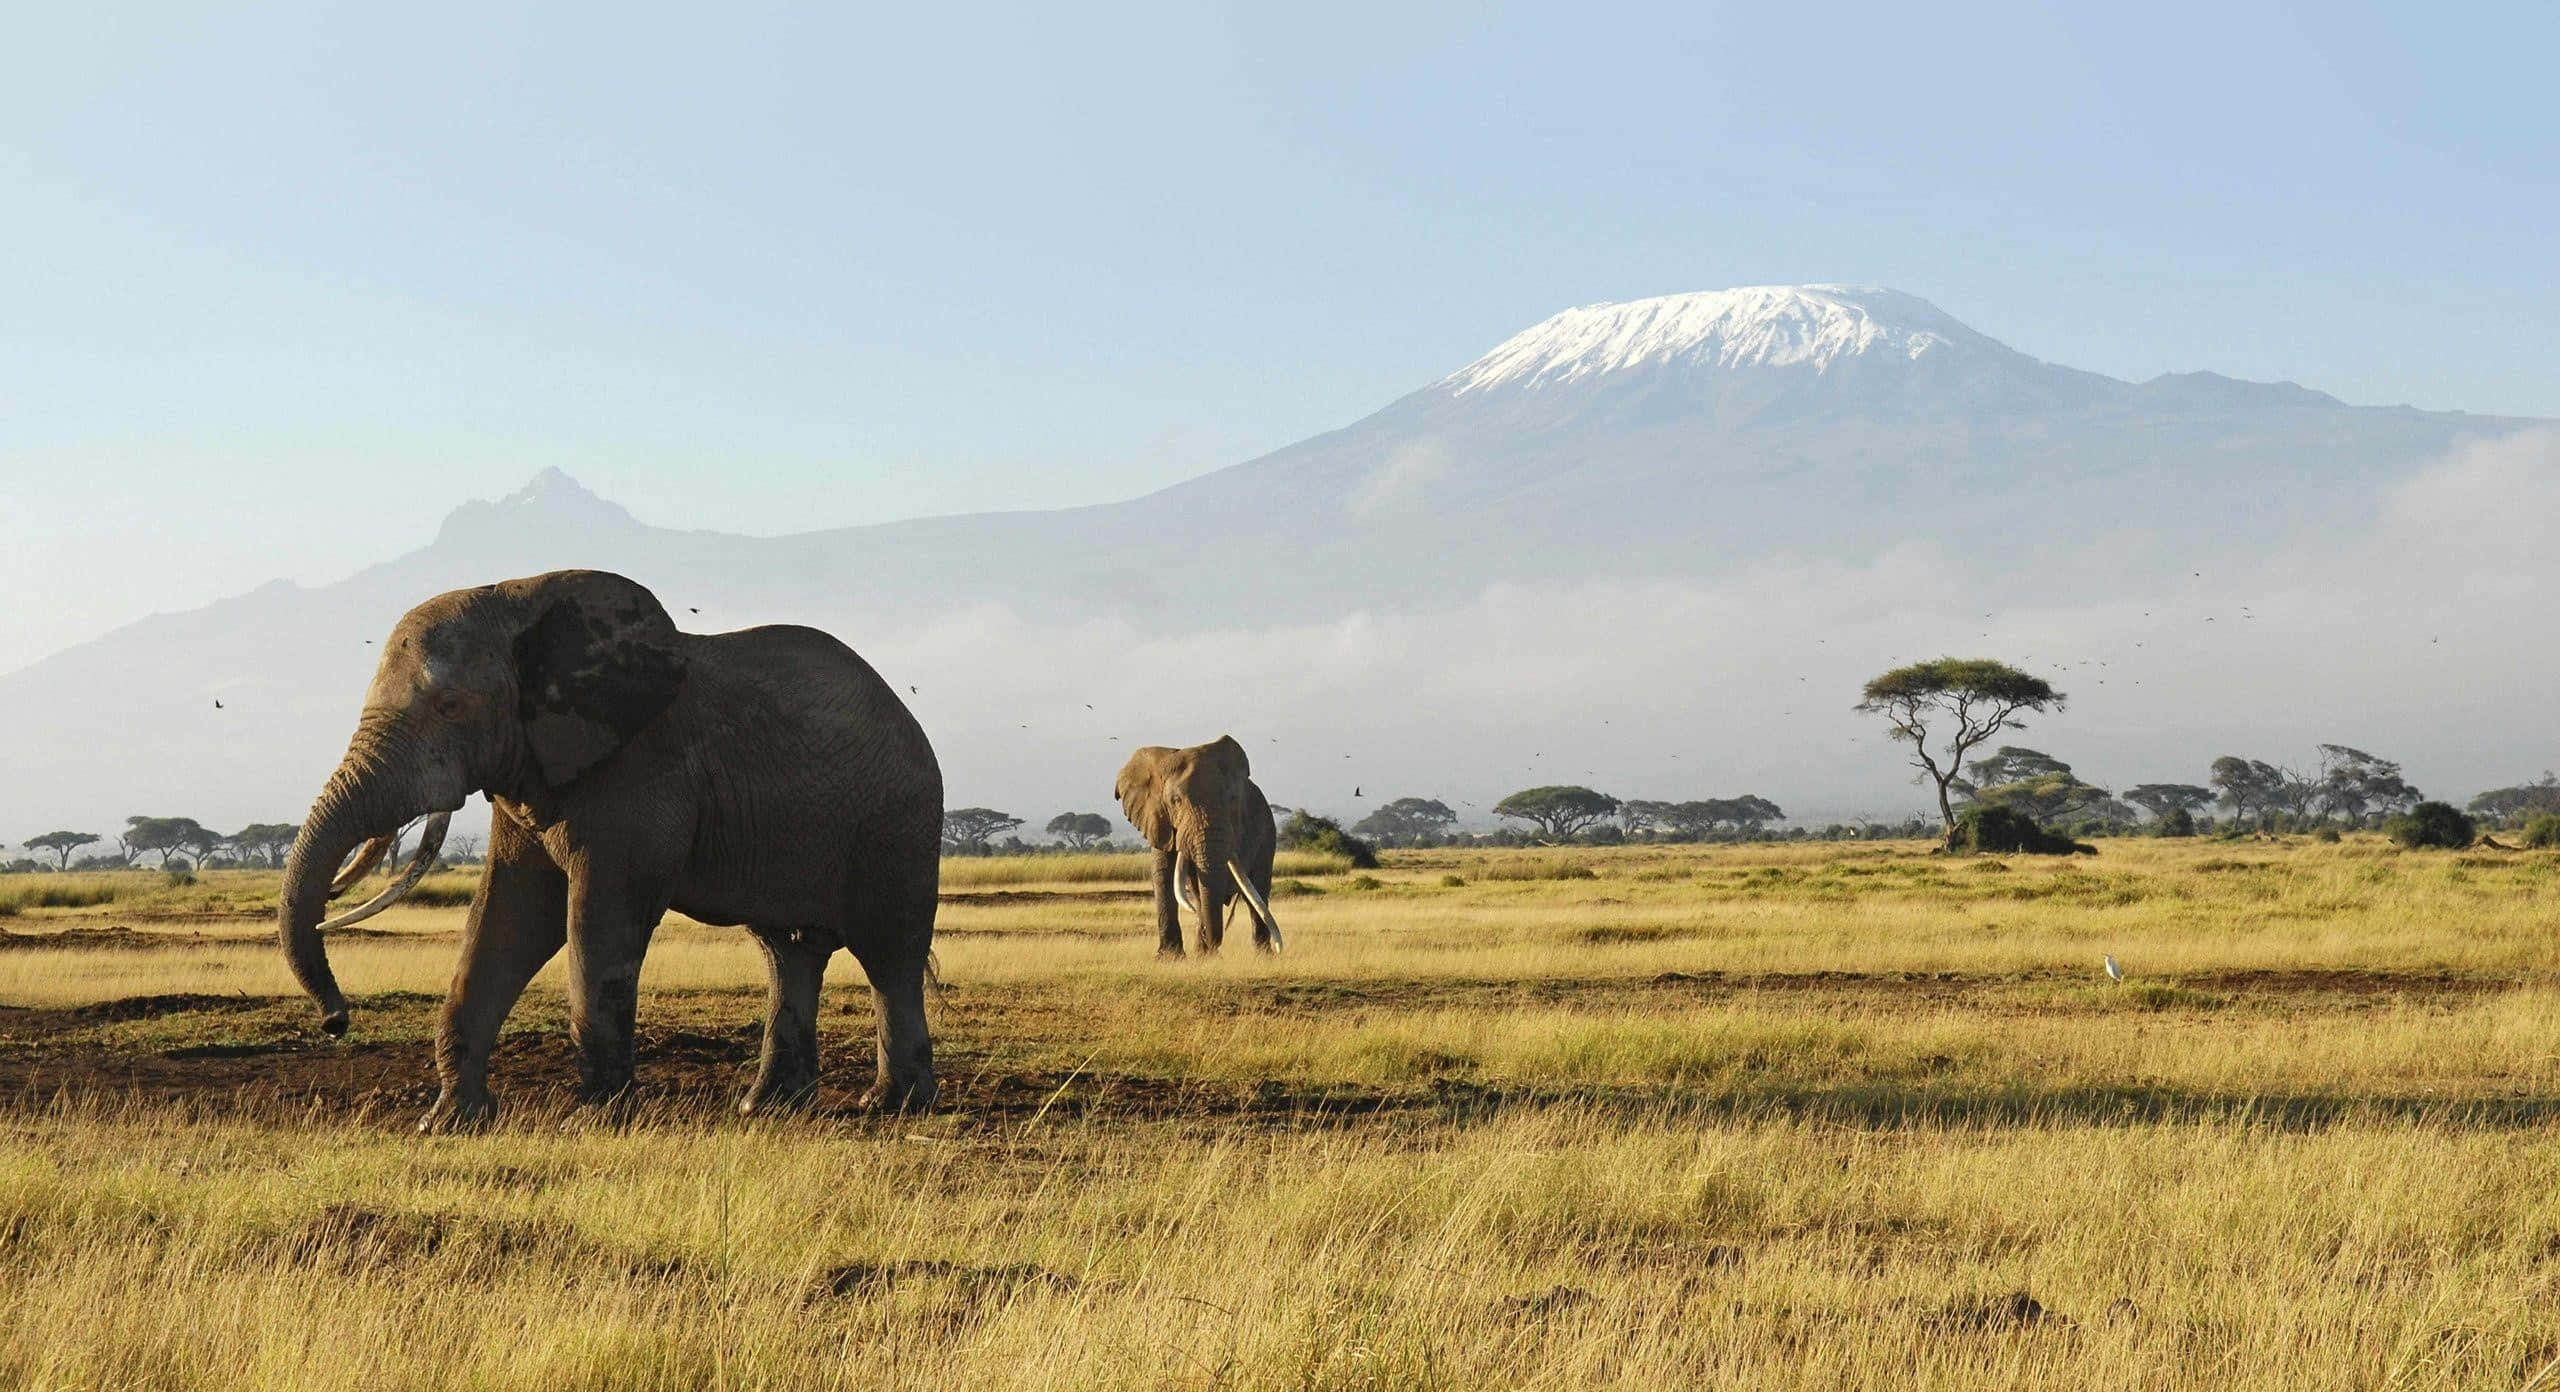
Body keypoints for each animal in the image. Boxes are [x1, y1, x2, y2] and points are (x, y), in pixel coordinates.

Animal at [276, 569, 943, 1131]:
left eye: (451, 707)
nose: (336, 1023)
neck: (519, 600)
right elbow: (509, 920)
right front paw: (448, 1123)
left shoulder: (640, 772)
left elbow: (598, 920)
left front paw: (594, 1120)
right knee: (789, 952)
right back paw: (767, 1108)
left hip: (898, 823)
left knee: (889, 953)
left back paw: (892, 1106)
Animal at [1113, 736, 1282, 956]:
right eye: (1176, 801)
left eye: (1233, 800)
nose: (1214, 948)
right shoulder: (1158, 820)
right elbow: (1163, 874)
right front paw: (1170, 957)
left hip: (1268, 833)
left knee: (1257, 891)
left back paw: (1262, 956)